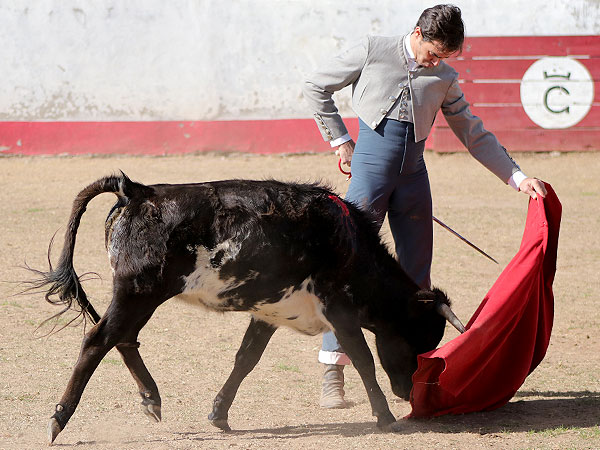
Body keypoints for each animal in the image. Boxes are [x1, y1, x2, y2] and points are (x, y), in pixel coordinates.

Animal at [29, 173, 464, 442]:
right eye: (417, 341)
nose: (407, 393)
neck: (351, 247)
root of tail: (138, 191)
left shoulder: (267, 313)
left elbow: (246, 358)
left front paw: (219, 414)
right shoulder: (339, 311)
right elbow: (363, 359)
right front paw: (385, 418)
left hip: (139, 297)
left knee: (124, 339)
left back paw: (151, 399)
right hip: (138, 292)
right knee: (98, 340)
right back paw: (59, 417)